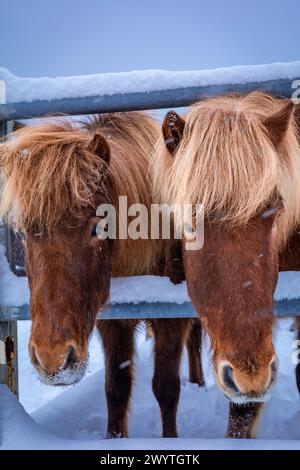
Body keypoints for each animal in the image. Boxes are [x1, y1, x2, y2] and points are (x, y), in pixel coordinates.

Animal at [0, 112, 199, 438]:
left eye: (99, 227)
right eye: (26, 232)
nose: (53, 358)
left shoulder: (171, 318)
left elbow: (166, 387)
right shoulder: (112, 324)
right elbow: (116, 389)